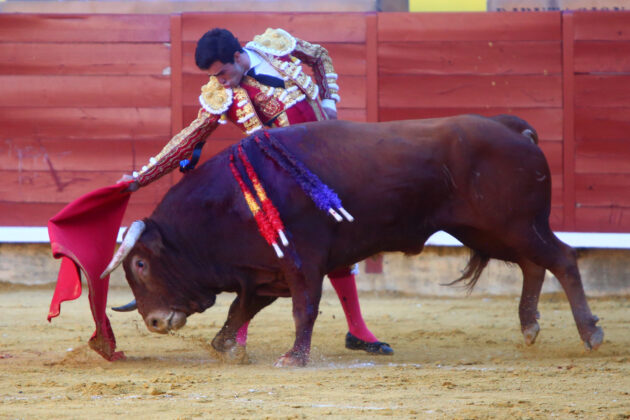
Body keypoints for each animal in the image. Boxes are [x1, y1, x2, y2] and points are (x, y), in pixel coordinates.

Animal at [103, 115, 608, 368]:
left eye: (141, 265)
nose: (153, 321)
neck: (230, 202)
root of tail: (512, 128)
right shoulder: (265, 272)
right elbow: (240, 310)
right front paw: (227, 346)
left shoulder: (302, 263)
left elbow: (303, 308)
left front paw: (294, 358)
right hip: (493, 230)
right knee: (534, 264)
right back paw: (529, 326)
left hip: (515, 224)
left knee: (563, 258)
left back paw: (590, 333)